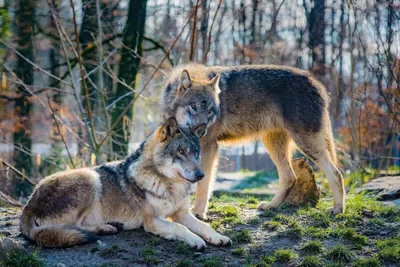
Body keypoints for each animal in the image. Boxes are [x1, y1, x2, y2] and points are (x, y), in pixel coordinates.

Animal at [20, 118, 231, 250]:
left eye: (195, 153)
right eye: (181, 152)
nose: (201, 175)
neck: (169, 185)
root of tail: (27, 207)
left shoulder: (181, 213)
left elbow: (203, 226)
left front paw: (218, 237)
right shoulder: (152, 220)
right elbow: (181, 228)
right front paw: (195, 240)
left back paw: (109, 226)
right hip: (90, 177)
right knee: (75, 227)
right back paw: (105, 228)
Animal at [161, 63, 346, 219]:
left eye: (210, 111)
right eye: (193, 106)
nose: (201, 130)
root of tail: (317, 83)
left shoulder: (208, 146)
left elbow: (203, 183)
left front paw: (199, 213)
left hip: (305, 144)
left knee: (336, 173)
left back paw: (338, 209)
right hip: (273, 144)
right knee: (290, 177)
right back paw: (271, 206)